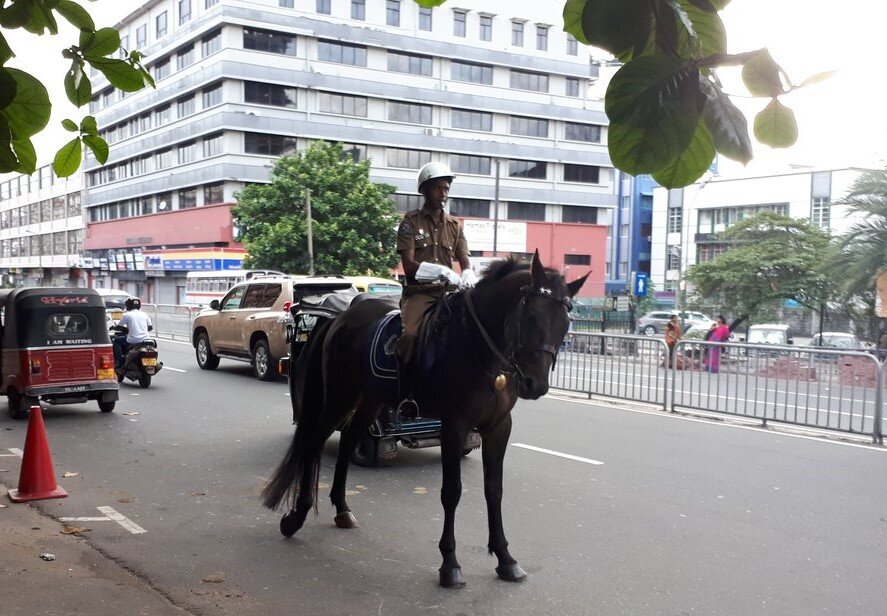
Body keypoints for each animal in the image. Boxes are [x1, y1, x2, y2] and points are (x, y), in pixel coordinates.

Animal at [260, 251, 588, 588]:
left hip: (371, 399)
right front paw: (450, 563)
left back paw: (342, 508)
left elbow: (494, 490)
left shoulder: (499, 427)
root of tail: (340, 318)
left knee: (349, 438)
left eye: (565, 324)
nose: (536, 385)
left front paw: (505, 558)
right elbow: (452, 491)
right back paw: (296, 516)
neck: (479, 347)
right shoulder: (454, 425)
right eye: (532, 316)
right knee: (313, 442)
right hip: (340, 396)